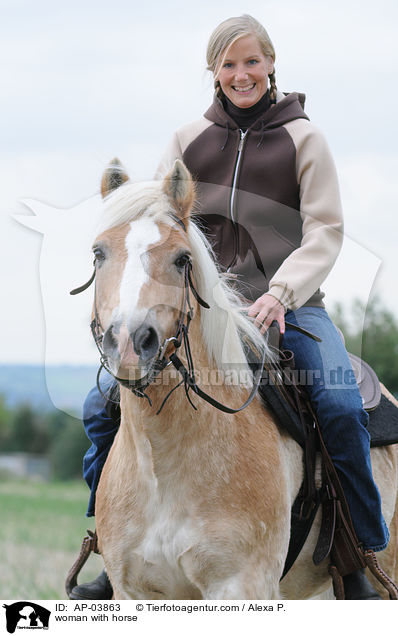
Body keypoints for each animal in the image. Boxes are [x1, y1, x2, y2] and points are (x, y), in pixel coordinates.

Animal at [88, 157, 398, 600]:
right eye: (99, 253)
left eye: (182, 259)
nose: (130, 342)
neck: (164, 465)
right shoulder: (136, 592)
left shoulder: (239, 584)